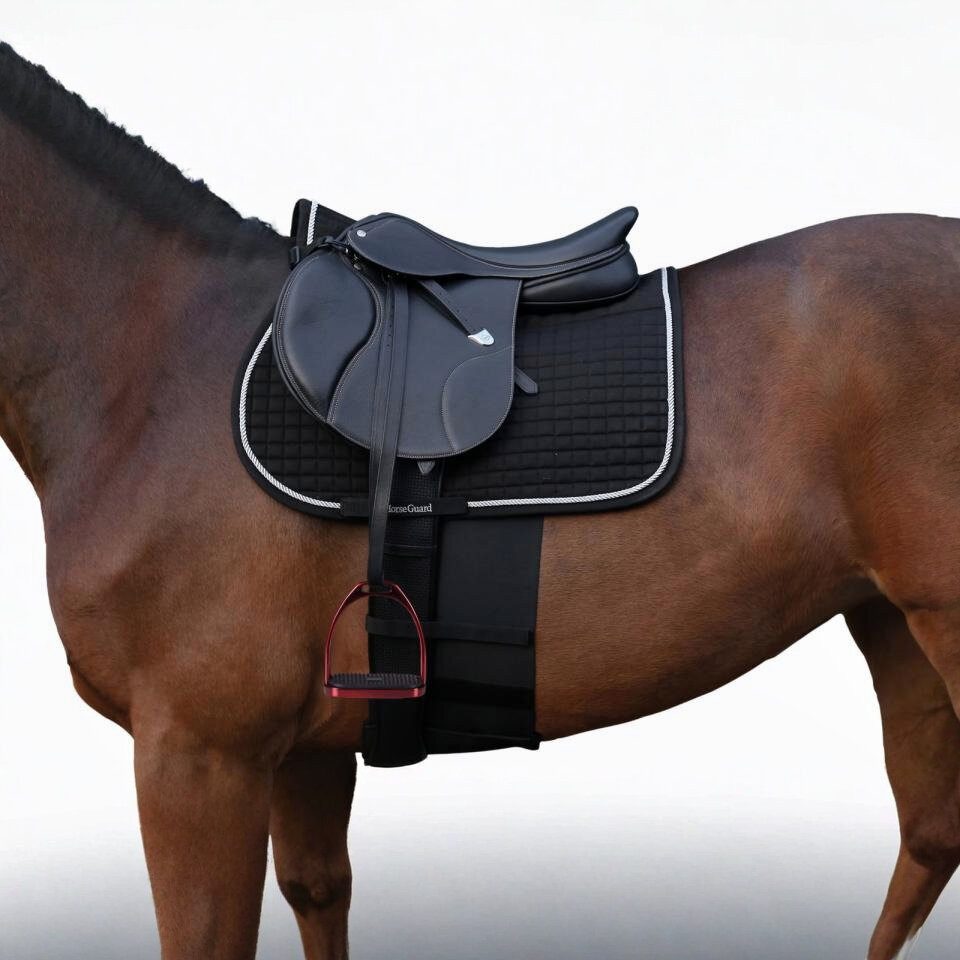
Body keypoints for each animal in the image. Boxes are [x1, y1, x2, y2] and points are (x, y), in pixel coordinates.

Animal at [1, 42, 958, 960]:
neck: (153, 370)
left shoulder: (199, 756)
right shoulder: (301, 750)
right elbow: (320, 896)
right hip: (890, 621)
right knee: (928, 836)